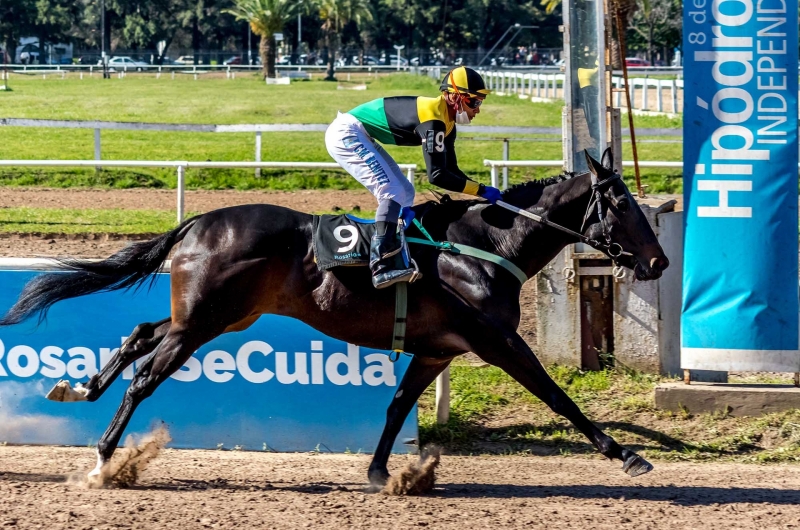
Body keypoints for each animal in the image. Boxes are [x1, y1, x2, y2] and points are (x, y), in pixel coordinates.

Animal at [0, 147, 668, 482]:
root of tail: (198, 222)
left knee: (140, 333)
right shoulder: (497, 340)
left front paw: (380, 471)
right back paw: (103, 457)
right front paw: (626, 454)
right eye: (622, 205)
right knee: (144, 378)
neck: (485, 244)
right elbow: (559, 397)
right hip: (203, 323)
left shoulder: (437, 349)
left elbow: (397, 406)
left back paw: (77, 386)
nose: (659, 261)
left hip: (219, 318)